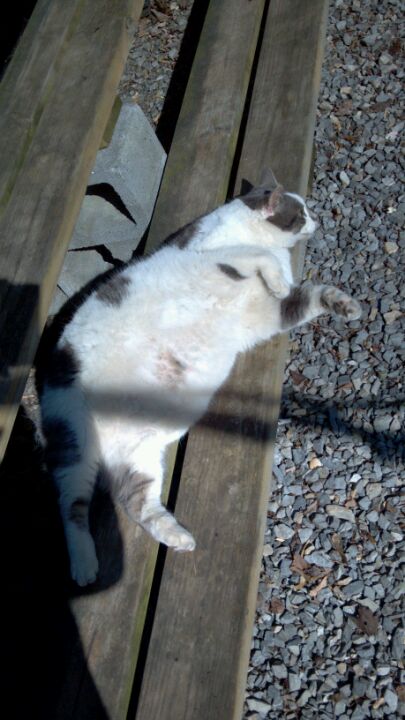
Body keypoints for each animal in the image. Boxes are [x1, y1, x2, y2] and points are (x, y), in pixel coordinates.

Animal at [38, 173, 361, 586]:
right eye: (299, 213)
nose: (315, 221)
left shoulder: (270, 313)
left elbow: (311, 295)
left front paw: (346, 306)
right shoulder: (213, 256)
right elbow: (259, 257)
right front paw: (275, 276)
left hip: (139, 458)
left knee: (134, 502)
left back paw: (177, 536)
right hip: (74, 441)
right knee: (71, 506)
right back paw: (83, 564)